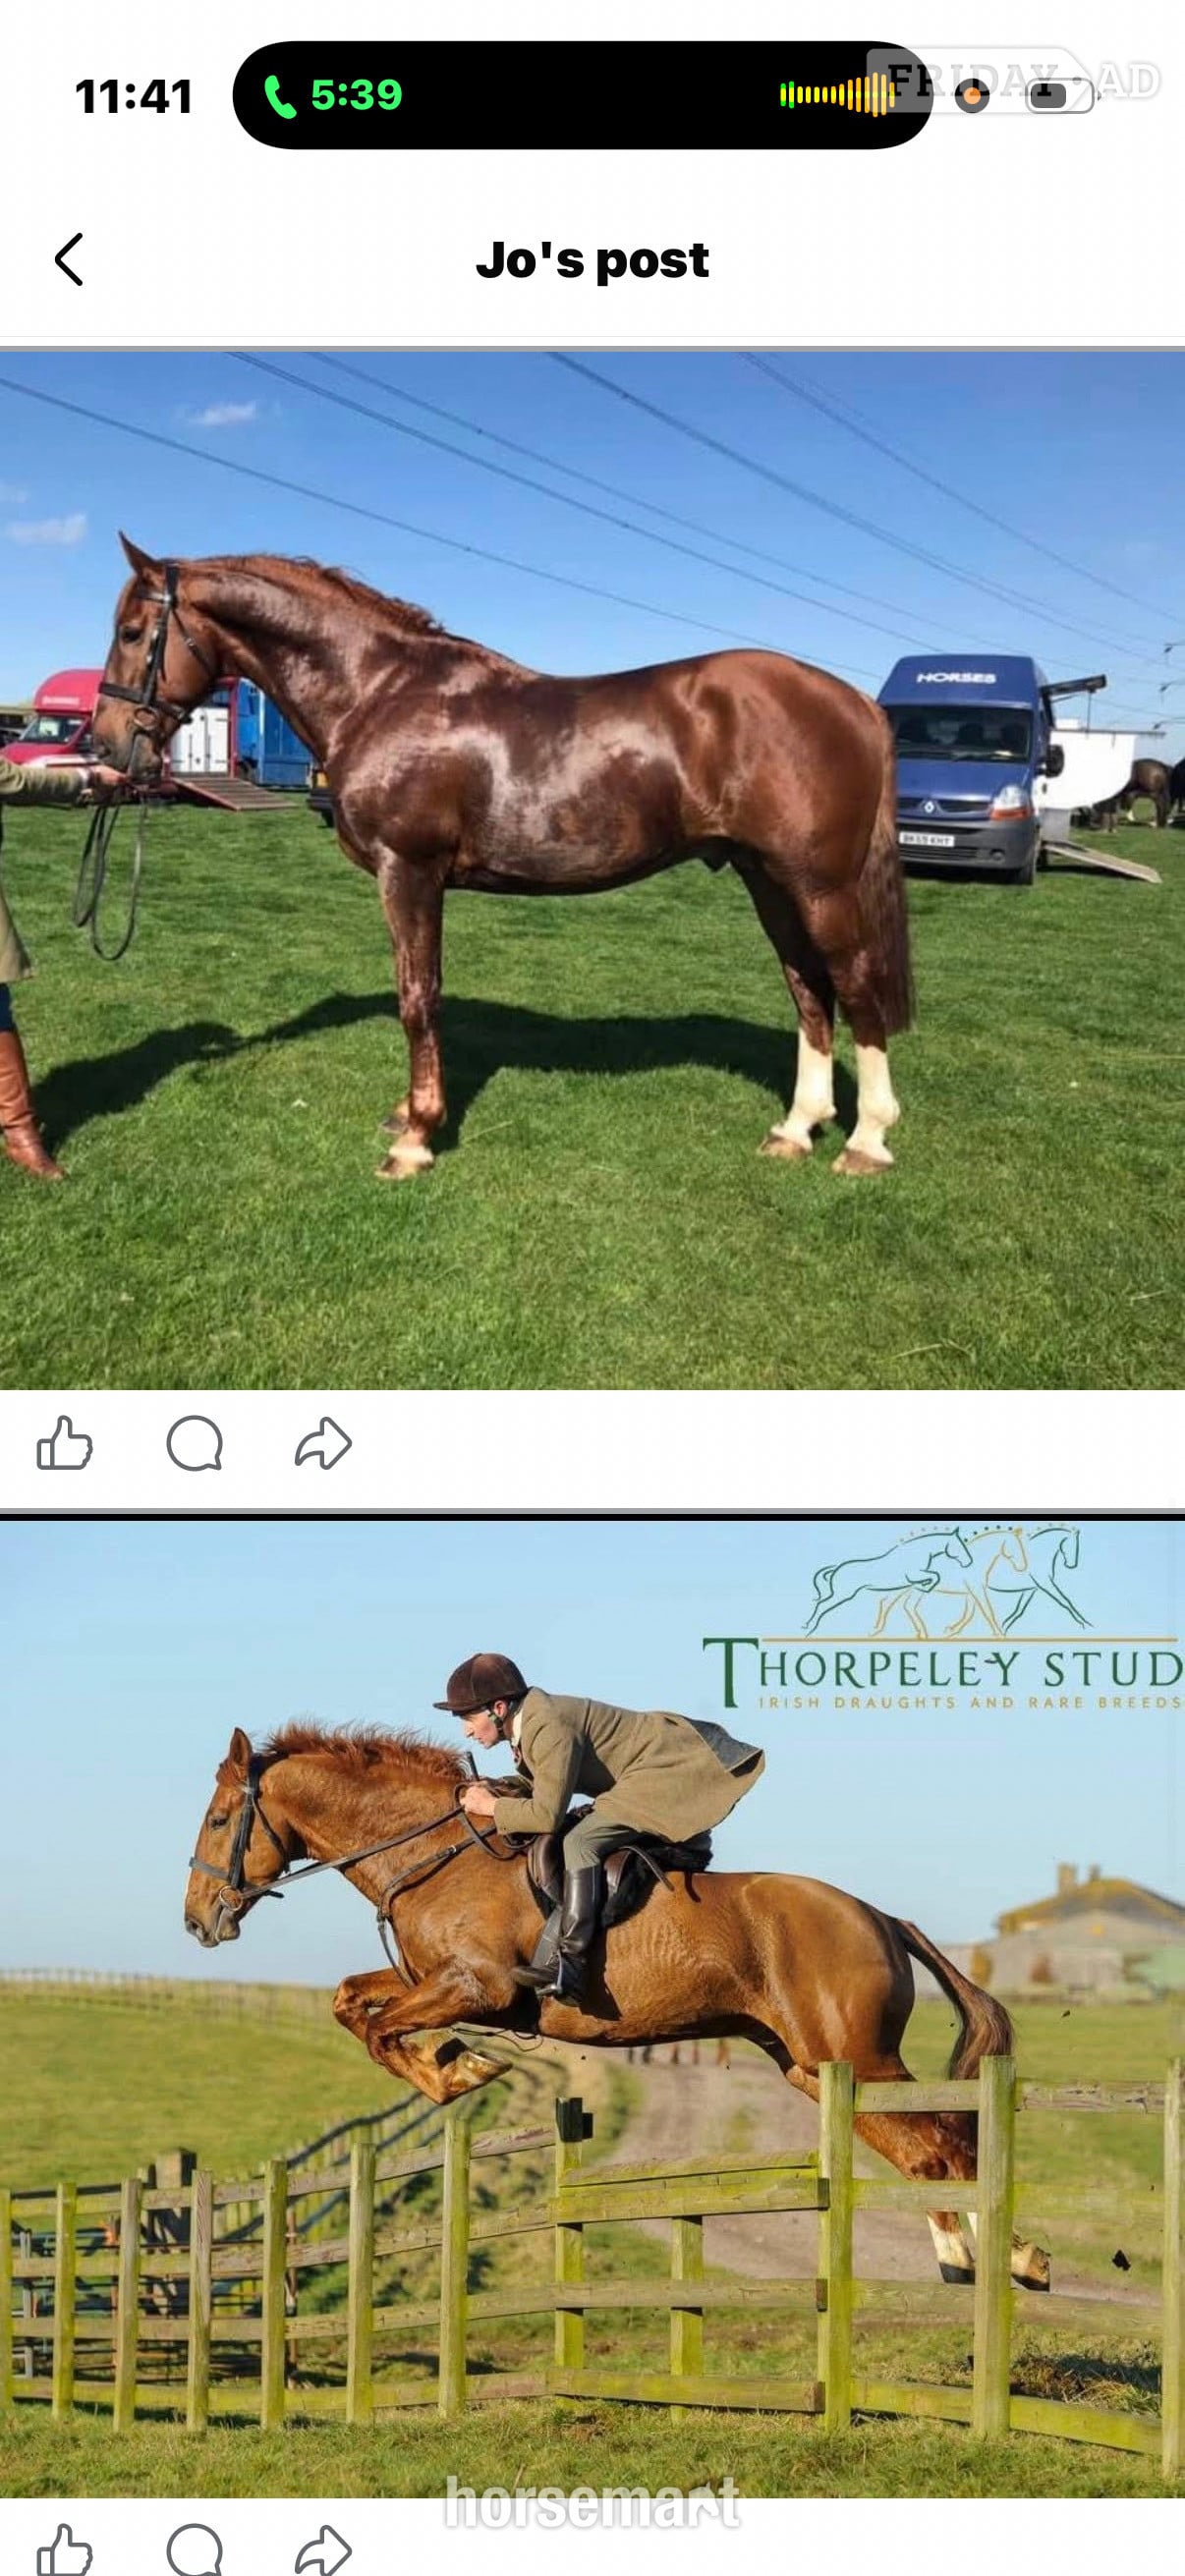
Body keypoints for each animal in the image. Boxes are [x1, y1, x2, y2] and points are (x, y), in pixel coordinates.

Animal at [92, 539, 912, 1181]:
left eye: (132, 631)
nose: (105, 744)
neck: (382, 692)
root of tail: (855, 703)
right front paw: (407, 1117)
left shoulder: (410, 872)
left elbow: (417, 997)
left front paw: (416, 1139)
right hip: (768, 881)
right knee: (809, 991)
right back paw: (796, 1129)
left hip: (820, 886)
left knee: (855, 986)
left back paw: (866, 1140)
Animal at [183, 1723, 1049, 2291]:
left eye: (222, 1819)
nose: (199, 1922)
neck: (435, 1855)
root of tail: (879, 1915)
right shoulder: (441, 1983)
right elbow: (353, 2005)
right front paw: (453, 2061)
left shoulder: (483, 1989)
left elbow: (380, 2028)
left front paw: (459, 2071)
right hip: (811, 2067)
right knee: (928, 2149)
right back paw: (976, 2258)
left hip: (856, 2057)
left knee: (946, 2145)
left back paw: (1002, 2257)